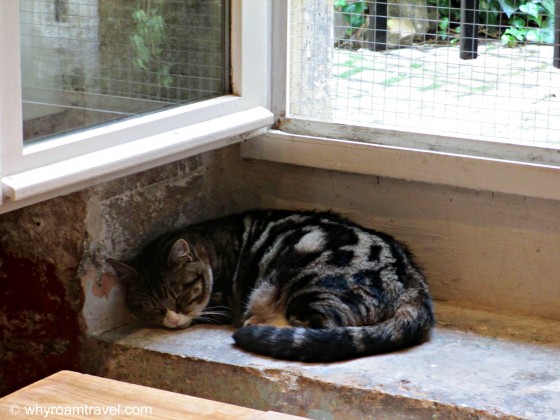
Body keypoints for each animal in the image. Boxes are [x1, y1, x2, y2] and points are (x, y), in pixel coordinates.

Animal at [108, 209, 434, 360]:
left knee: (319, 326)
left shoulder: (222, 302)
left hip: (309, 284)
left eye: (181, 296)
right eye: (151, 307)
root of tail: (413, 281)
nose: (173, 321)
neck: (209, 246)